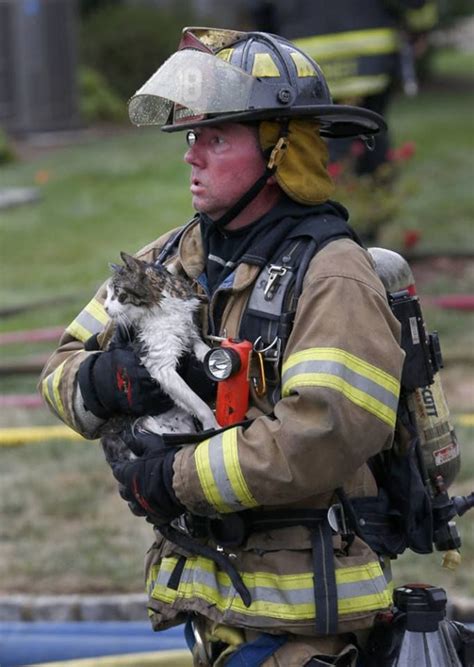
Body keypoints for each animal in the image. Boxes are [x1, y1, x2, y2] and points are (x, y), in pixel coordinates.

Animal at [102, 250, 218, 464]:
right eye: (107, 294)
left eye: (118, 293)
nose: (105, 308)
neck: (163, 307)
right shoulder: (160, 365)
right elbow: (198, 403)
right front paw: (214, 426)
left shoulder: (189, 333)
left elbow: (203, 349)